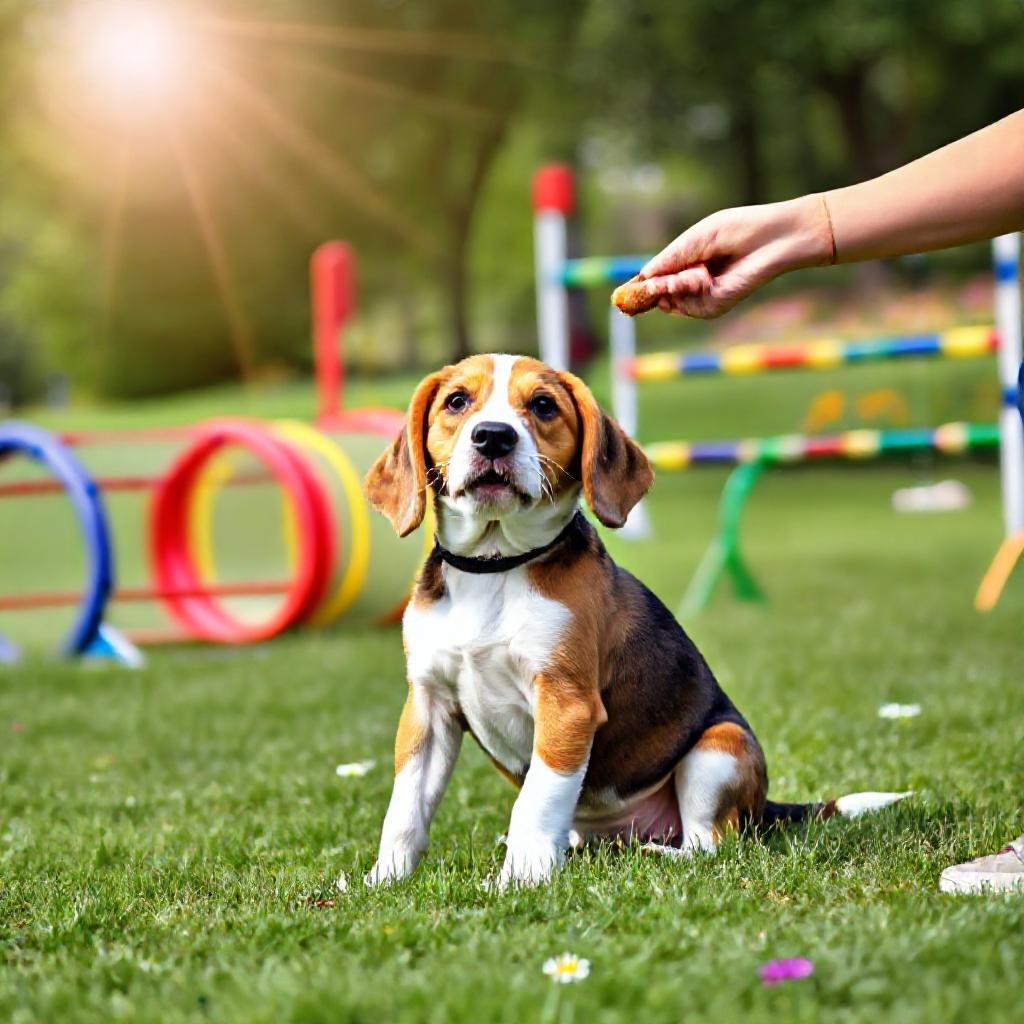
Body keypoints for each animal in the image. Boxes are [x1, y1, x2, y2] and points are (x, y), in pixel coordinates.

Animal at [364, 356, 909, 884]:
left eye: (542, 406)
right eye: (457, 401)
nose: (494, 436)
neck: (495, 565)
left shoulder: (566, 702)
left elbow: (537, 798)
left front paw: (523, 877)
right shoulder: (428, 707)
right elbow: (405, 809)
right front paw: (385, 879)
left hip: (718, 749)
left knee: (710, 844)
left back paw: (657, 852)